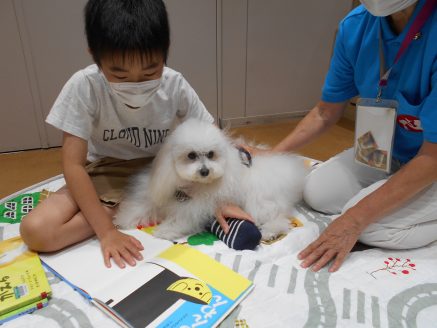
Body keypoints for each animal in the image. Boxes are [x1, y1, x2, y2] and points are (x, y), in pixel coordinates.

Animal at [116, 118, 306, 241]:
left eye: (211, 154)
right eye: (191, 155)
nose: (205, 171)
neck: (192, 186)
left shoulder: (195, 208)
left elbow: (181, 219)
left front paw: (164, 230)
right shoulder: (162, 192)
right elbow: (142, 205)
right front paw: (124, 219)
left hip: (259, 201)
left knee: (278, 217)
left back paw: (269, 232)